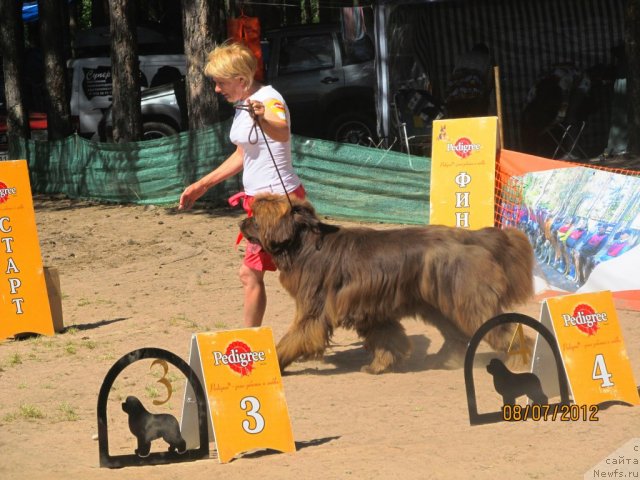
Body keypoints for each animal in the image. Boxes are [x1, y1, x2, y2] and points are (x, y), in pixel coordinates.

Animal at [239, 193, 528, 374]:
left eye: (254, 218)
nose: (241, 222)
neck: (305, 245)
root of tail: (470, 237)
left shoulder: (314, 311)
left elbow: (294, 338)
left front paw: (277, 362)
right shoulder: (370, 308)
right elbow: (388, 338)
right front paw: (380, 365)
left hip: (467, 302)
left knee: (504, 330)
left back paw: (518, 361)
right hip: (441, 304)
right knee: (456, 335)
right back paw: (444, 360)